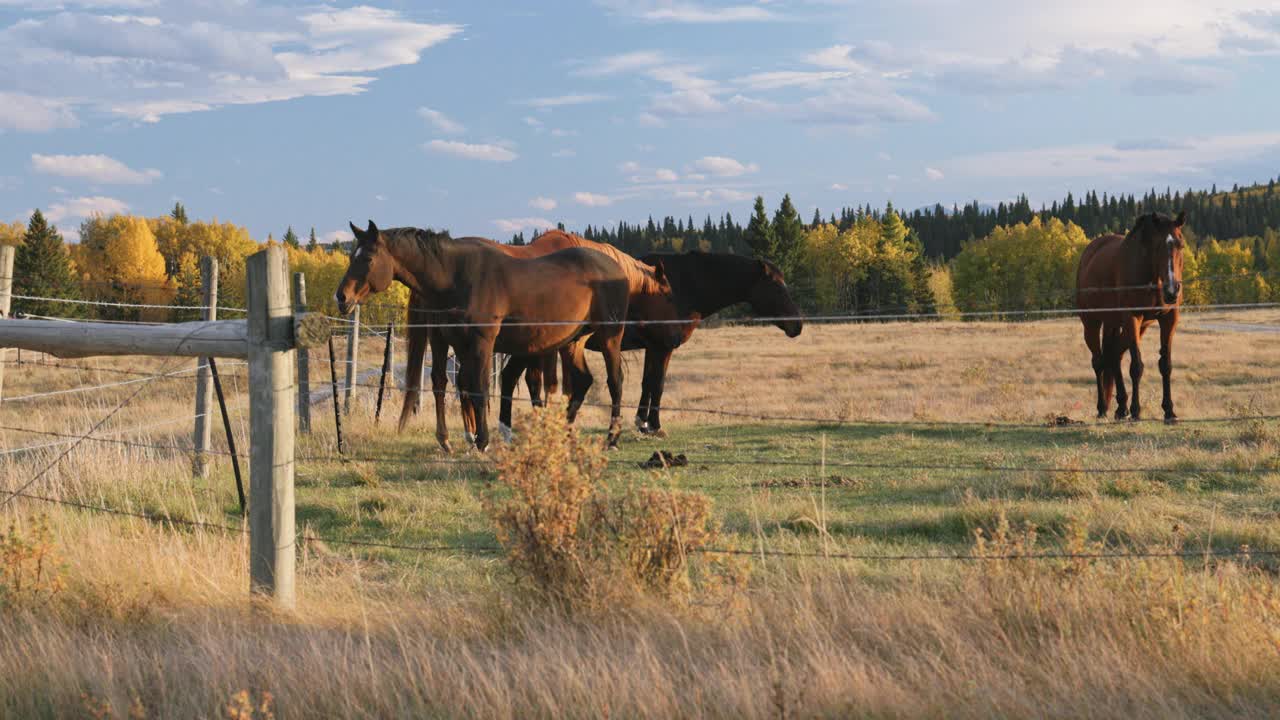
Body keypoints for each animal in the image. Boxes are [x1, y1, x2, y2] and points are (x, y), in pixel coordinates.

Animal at [335, 221, 670, 450]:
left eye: (367, 259)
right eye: (352, 257)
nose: (342, 296)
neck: (456, 275)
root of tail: (616, 268)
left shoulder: (484, 344)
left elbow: (483, 388)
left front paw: (483, 440)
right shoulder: (460, 344)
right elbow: (464, 387)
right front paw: (469, 437)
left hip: (610, 336)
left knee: (615, 381)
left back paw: (612, 437)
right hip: (574, 342)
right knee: (584, 380)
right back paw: (563, 431)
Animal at [1075, 210, 1182, 420]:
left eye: (1180, 245)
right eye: (1157, 246)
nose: (1172, 291)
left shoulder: (1168, 319)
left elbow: (1165, 365)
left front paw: (1169, 410)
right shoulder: (1132, 317)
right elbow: (1136, 366)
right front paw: (1136, 410)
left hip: (1120, 324)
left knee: (1114, 355)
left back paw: (1121, 407)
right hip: (1092, 323)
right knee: (1099, 362)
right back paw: (1103, 408)